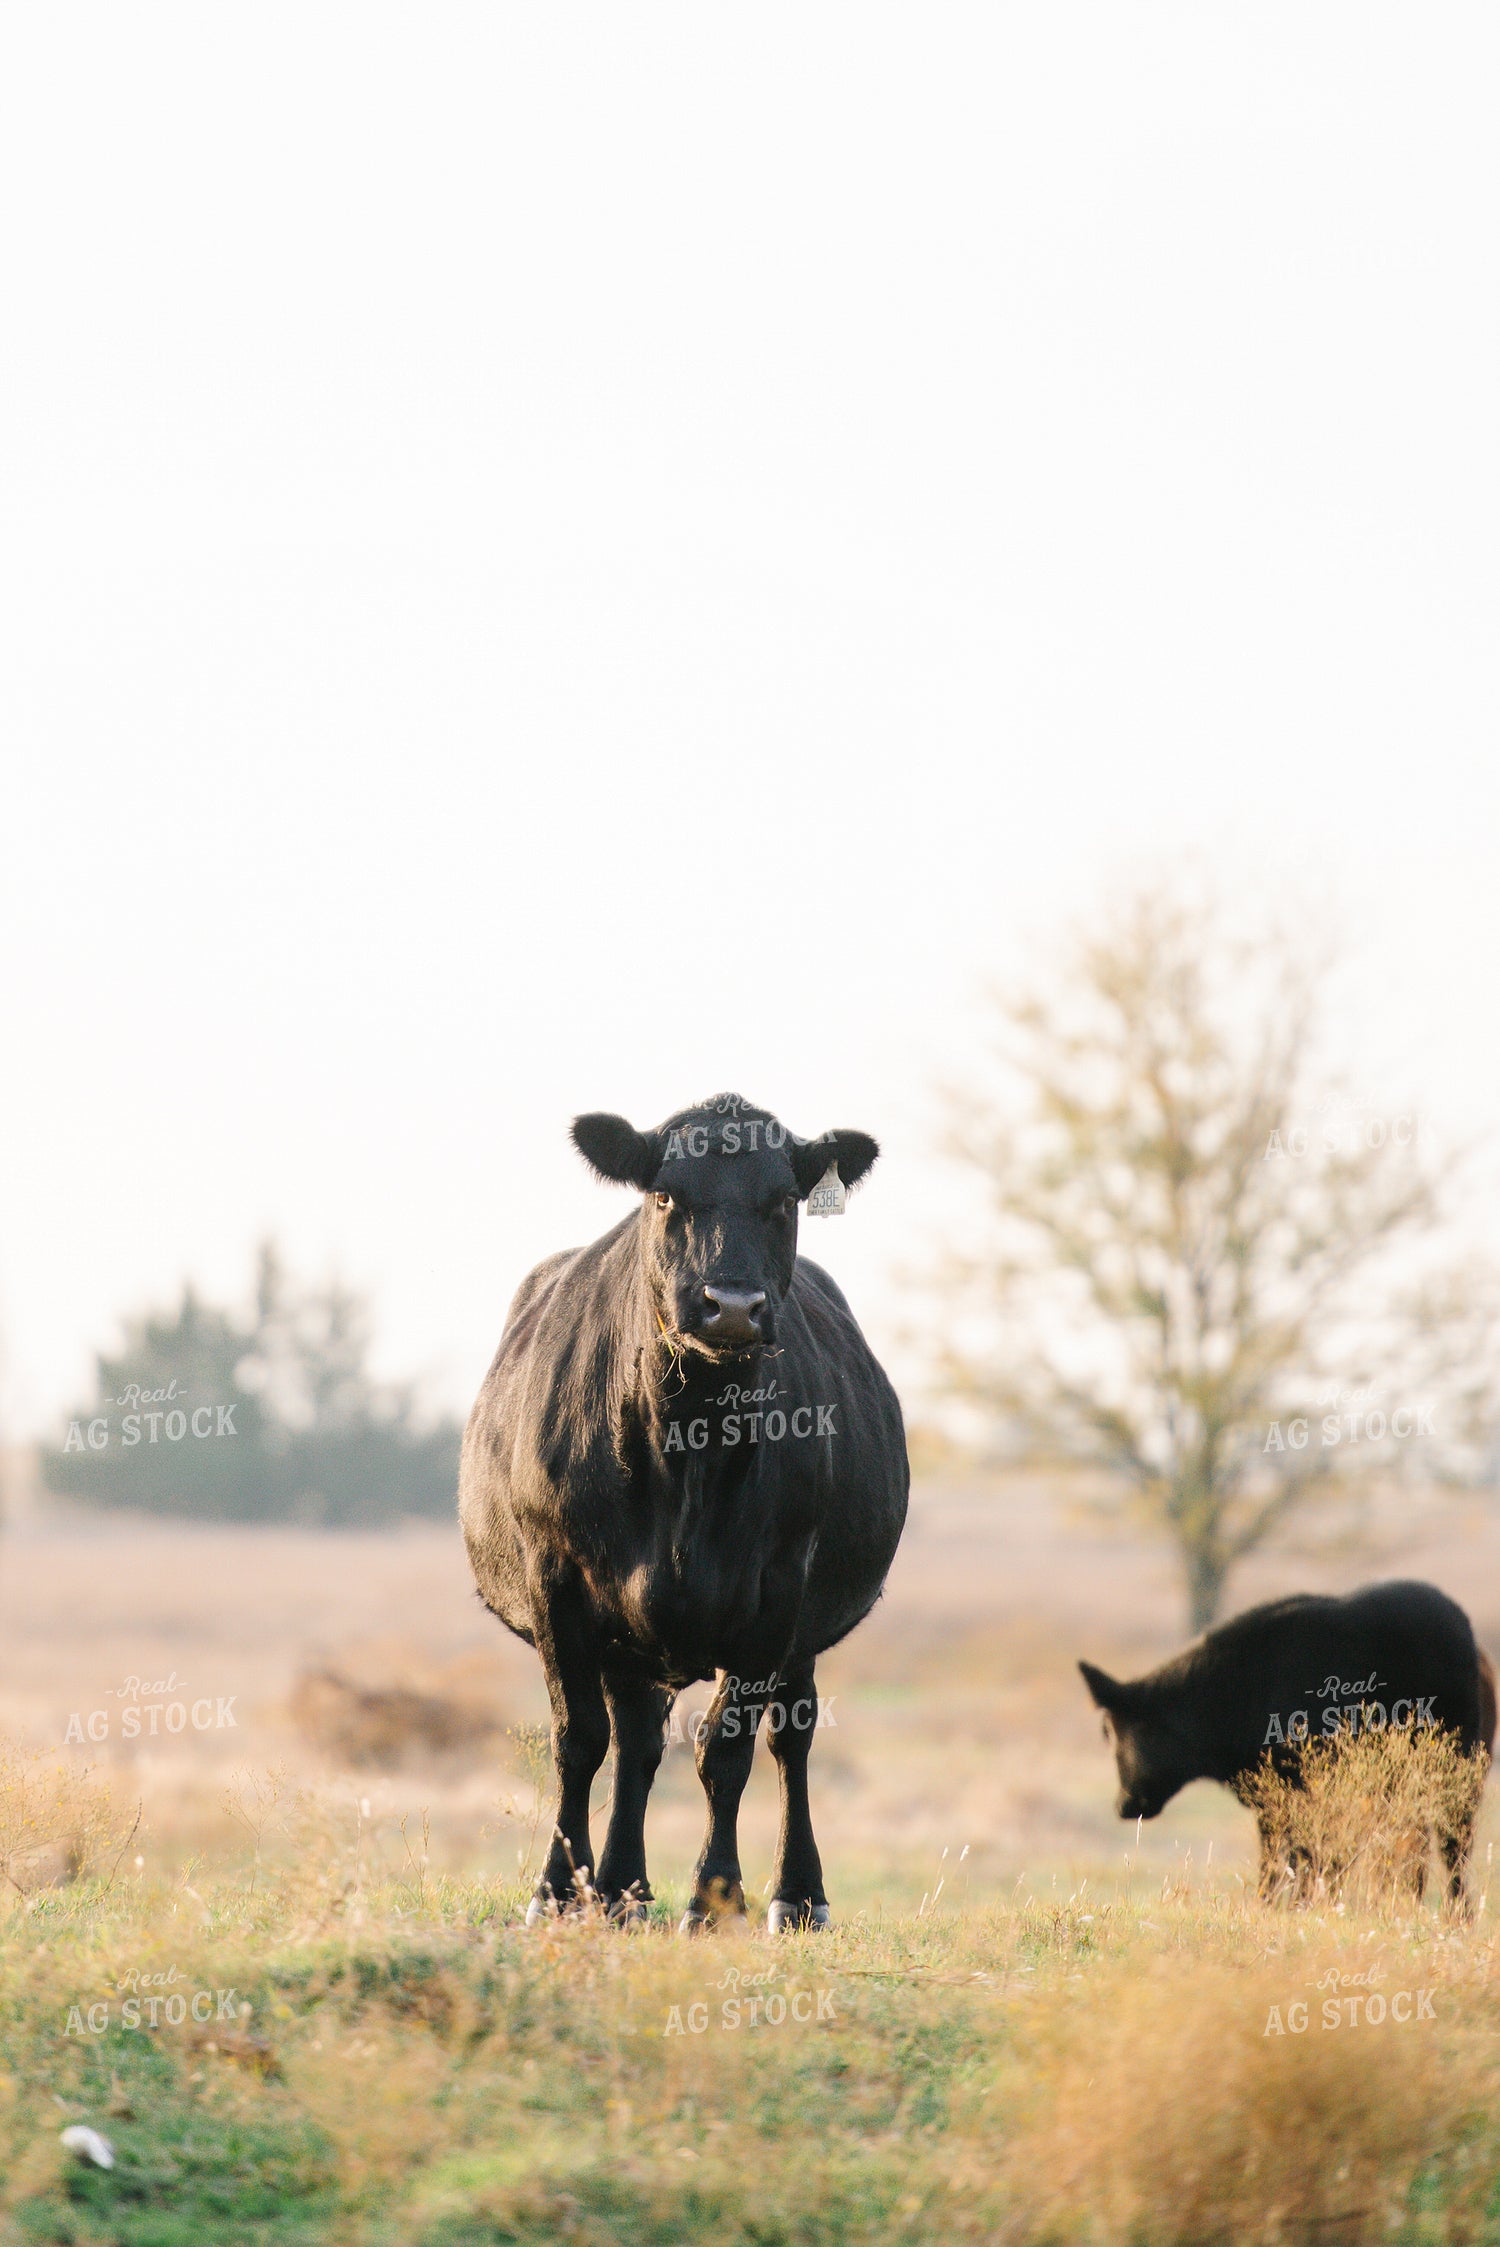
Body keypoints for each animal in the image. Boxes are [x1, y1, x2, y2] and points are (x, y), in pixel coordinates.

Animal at [460, 1094, 908, 1933]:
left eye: (784, 1199)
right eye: (666, 1195)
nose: (730, 1305)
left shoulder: (778, 1586)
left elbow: (725, 1748)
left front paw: (712, 1896)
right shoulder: (555, 1574)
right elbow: (579, 1738)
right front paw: (556, 1890)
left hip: (800, 1631)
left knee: (790, 1737)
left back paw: (796, 1894)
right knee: (635, 1739)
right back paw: (619, 1890)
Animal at [1079, 1581, 1495, 1902]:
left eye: (1115, 1731)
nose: (1123, 1804)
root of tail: (1474, 1646)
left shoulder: (1298, 1790)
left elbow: (1294, 1864)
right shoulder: (1279, 1801)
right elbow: (1289, 1863)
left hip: (1460, 1771)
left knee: (1452, 1852)